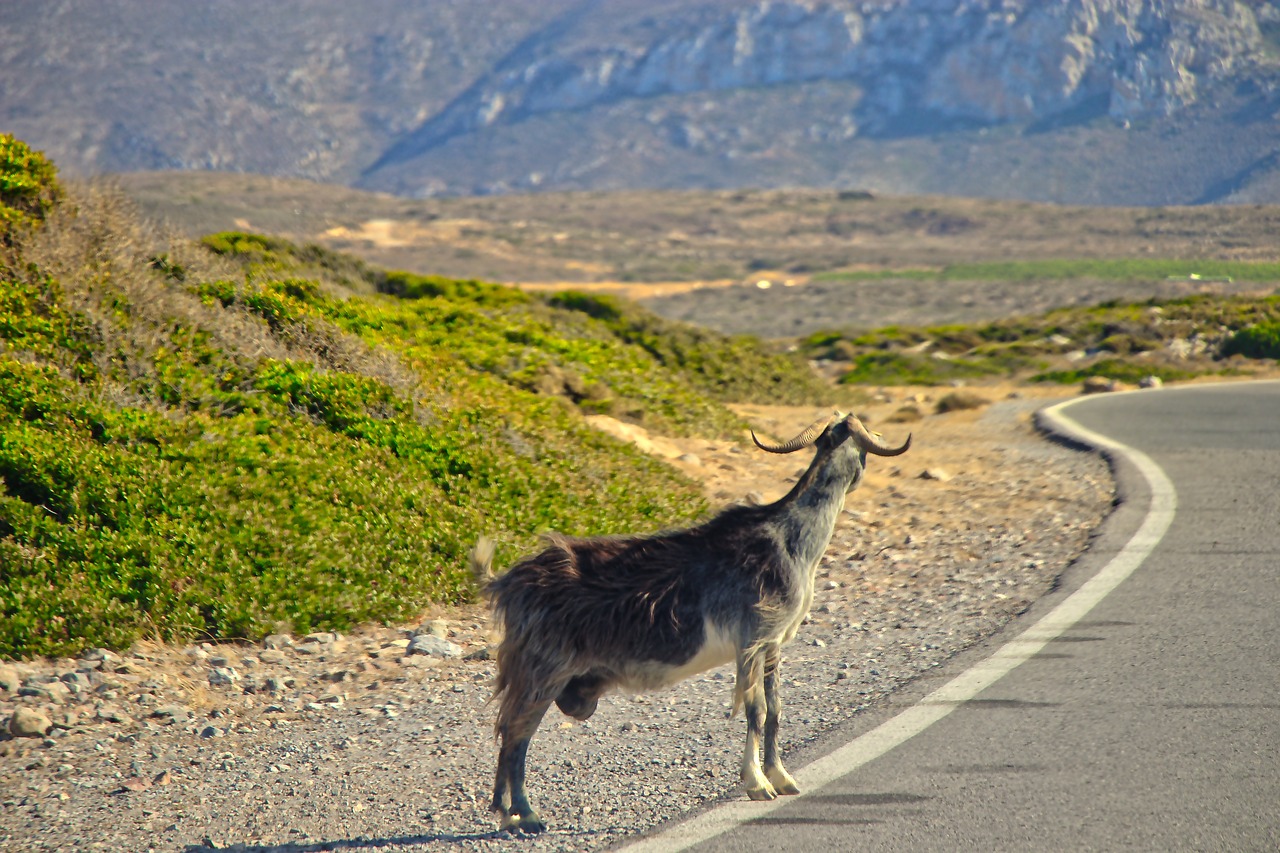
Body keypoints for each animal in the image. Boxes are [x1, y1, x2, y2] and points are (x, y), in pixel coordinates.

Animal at [471, 409, 911, 829]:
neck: (789, 539)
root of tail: (507, 582)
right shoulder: (751, 639)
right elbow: (755, 709)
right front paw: (757, 783)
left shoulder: (773, 644)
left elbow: (775, 709)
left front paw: (782, 777)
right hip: (544, 669)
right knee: (516, 733)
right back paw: (525, 815)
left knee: (508, 731)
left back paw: (507, 813)